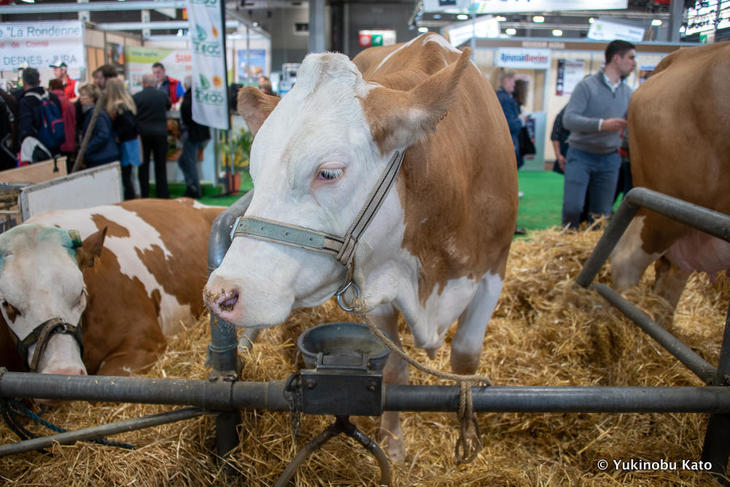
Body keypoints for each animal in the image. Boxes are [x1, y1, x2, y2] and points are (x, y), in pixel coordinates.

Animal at [202, 32, 516, 460]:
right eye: (254, 169)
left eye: (329, 172)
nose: (221, 294)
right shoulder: (376, 280)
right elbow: (394, 369)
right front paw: (394, 445)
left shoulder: (493, 272)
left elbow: (466, 360)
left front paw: (467, 439)